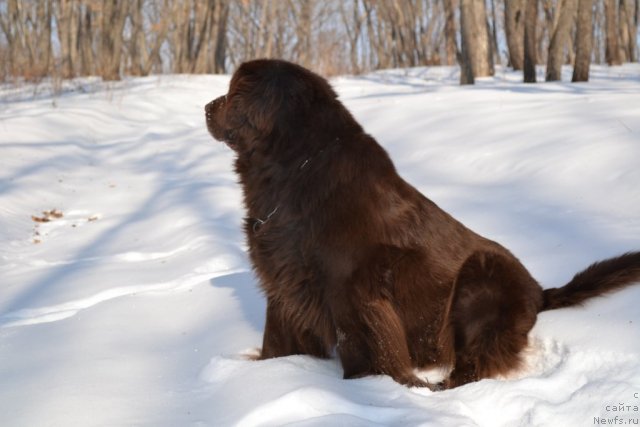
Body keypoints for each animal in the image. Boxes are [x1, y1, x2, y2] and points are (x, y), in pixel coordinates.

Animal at [206, 59, 640, 392]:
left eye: (234, 91)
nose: (208, 106)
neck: (296, 168)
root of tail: (539, 291)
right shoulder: (283, 277)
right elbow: (278, 336)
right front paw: (268, 369)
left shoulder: (349, 285)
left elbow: (362, 345)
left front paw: (371, 389)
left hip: (481, 278)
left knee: (479, 361)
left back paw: (443, 386)